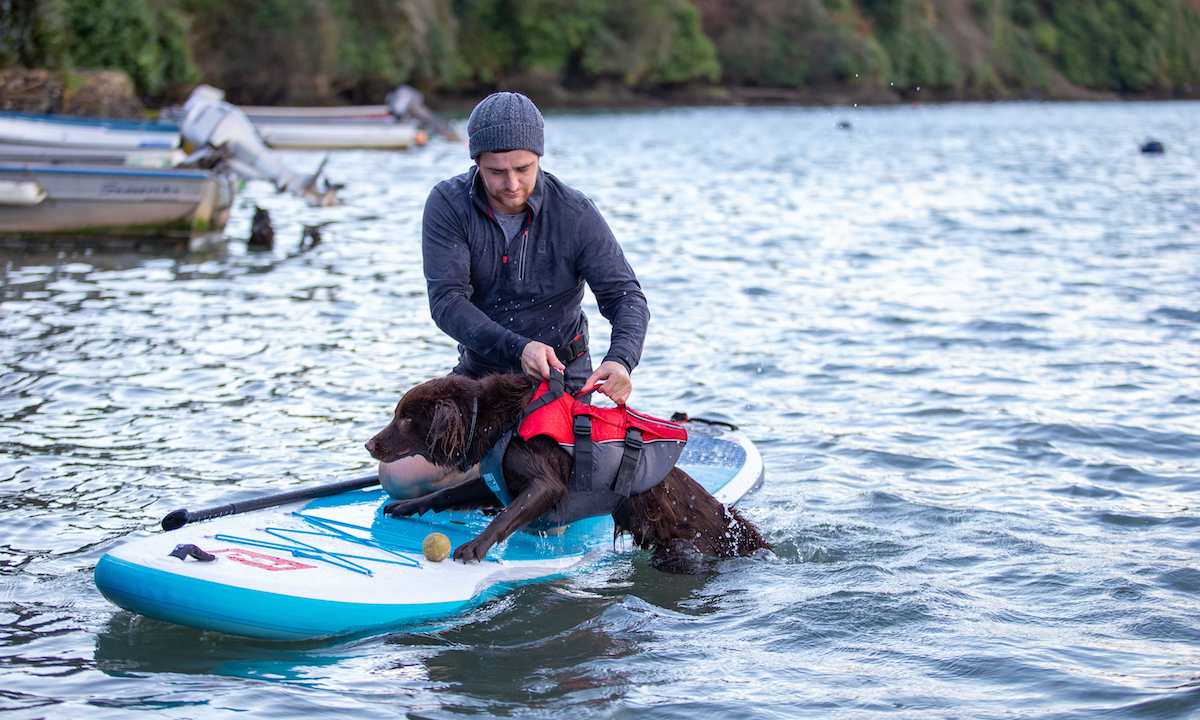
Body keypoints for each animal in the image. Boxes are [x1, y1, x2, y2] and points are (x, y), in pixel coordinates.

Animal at [364, 374, 768, 571]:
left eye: (406, 418)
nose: (368, 445)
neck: (497, 418)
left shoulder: (546, 485)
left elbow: (506, 517)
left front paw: (476, 546)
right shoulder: (496, 477)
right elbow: (447, 493)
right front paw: (405, 507)